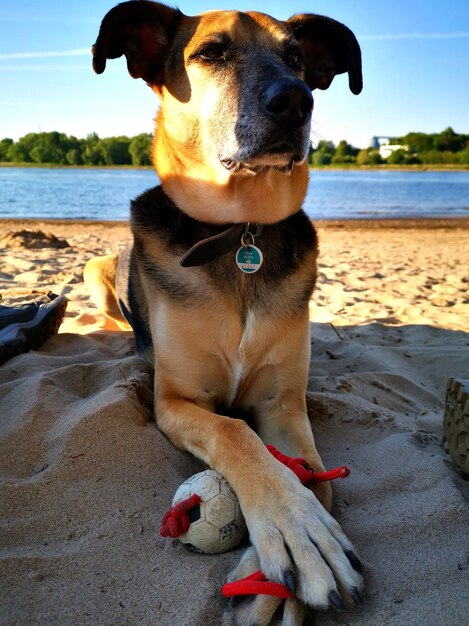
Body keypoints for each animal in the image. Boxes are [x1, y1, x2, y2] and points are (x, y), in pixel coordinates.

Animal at [84, 3, 362, 620]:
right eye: (210, 52)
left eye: (297, 58)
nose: (296, 101)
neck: (240, 234)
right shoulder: (176, 401)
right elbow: (235, 434)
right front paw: (293, 527)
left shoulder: (284, 406)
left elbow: (316, 479)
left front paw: (280, 569)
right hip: (94, 273)